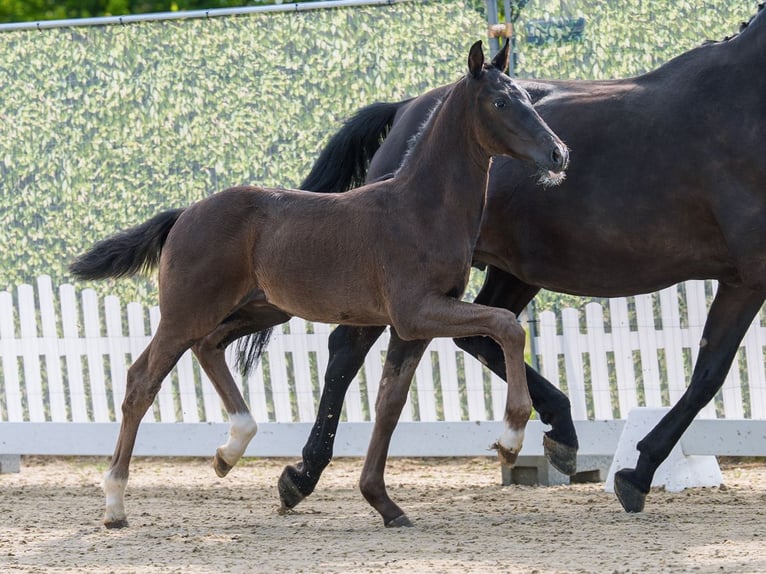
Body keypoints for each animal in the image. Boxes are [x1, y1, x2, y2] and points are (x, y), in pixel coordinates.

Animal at [69, 40, 568, 529]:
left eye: (529, 100)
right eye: (501, 102)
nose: (559, 154)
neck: (419, 209)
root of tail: (184, 215)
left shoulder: (412, 327)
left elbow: (390, 404)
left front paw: (384, 504)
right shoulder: (417, 311)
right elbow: (507, 326)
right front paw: (510, 438)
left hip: (260, 309)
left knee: (208, 347)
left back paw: (230, 451)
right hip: (185, 313)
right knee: (142, 382)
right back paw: (115, 504)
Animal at [274, 4, 766, 520]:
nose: (559, 153)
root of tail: (408, 107)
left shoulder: (745, 280)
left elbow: (707, 372)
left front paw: (636, 471)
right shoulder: (752, 275)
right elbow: (708, 375)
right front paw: (636, 474)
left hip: (514, 271)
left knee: (477, 334)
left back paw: (560, 434)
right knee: (348, 350)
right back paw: (303, 476)